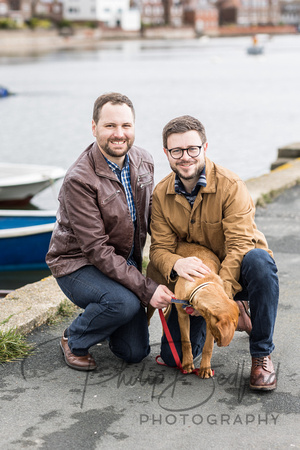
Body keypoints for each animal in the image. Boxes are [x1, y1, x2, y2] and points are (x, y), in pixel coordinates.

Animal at [173, 241, 239, 378]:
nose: (225, 343)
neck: (203, 281)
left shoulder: (209, 322)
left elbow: (207, 347)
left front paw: (205, 368)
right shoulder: (182, 315)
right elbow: (186, 341)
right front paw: (187, 363)